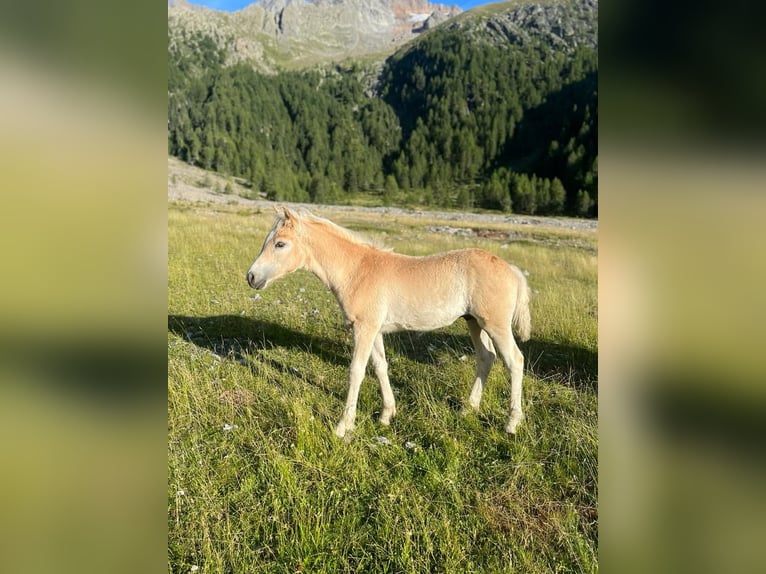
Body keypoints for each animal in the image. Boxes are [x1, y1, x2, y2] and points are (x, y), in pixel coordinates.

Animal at [249, 209, 532, 438]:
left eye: (280, 244)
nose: (251, 277)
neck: (357, 271)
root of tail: (512, 269)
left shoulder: (364, 328)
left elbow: (356, 371)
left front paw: (343, 426)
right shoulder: (374, 330)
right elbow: (380, 367)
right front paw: (386, 414)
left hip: (495, 325)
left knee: (514, 361)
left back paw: (511, 423)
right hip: (474, 322)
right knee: (486, 357)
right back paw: (468, 409)